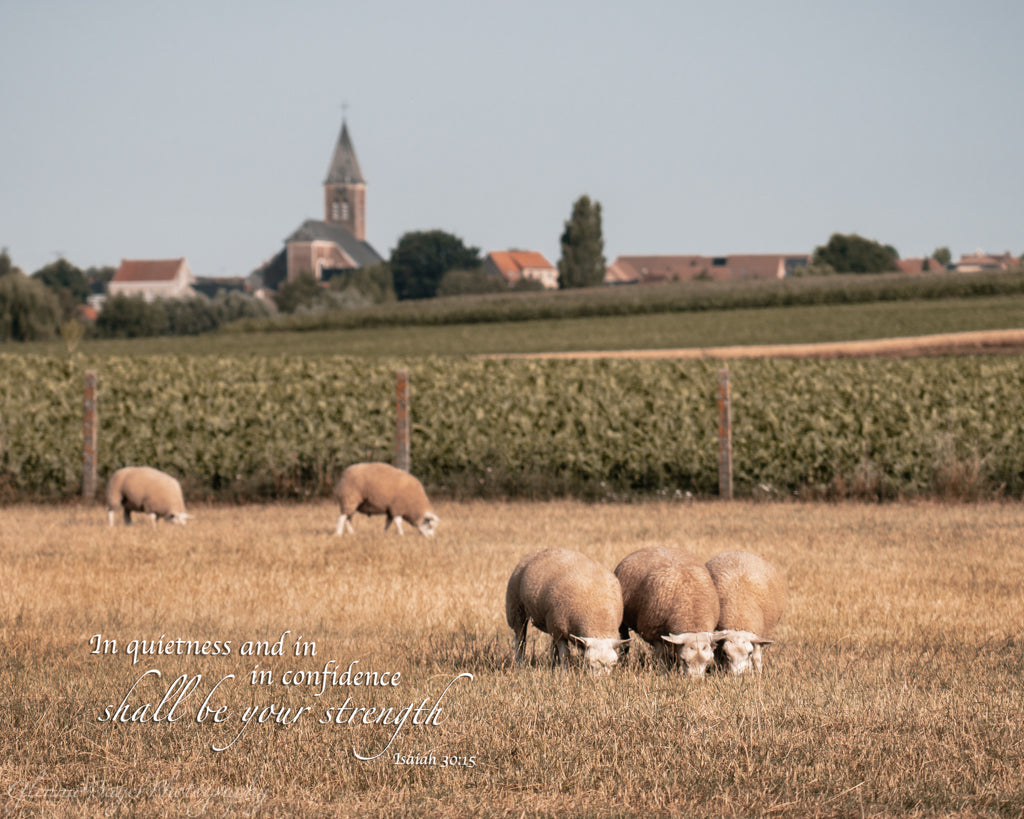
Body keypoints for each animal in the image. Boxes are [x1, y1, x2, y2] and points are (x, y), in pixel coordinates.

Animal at [614, 546, 720, 677]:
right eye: (684, 660)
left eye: (708, 661)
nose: (695, 680)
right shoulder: (655, 635)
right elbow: (663, 658)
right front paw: (665, 675)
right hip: (622, 621)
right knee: (624, 644)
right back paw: (622, 663)